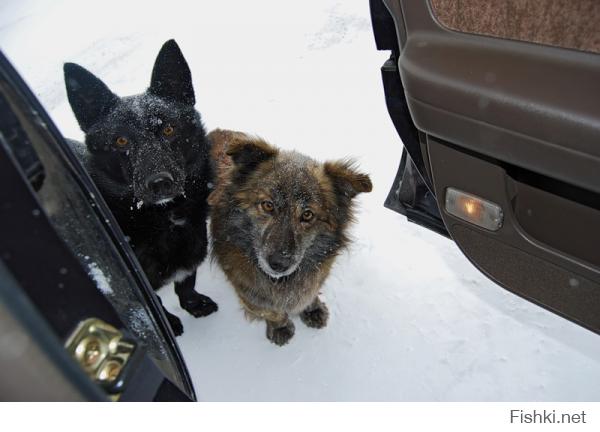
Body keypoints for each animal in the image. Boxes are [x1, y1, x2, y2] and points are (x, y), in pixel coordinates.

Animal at [63, 39, 217, 334]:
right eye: (121, 141)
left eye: (168, 130)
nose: (160, 183)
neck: (164, 218)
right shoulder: (137, 284)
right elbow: (157, 303)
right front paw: (171, 323)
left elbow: (186, 283)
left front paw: (194, 304)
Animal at [209, 130, 372, 346]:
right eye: (268, 205)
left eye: (308, 215)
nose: (279, 264)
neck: (282, 281)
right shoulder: (248, 293)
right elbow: (270, 311)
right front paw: (281, 327)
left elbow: (310, 292)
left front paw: (312, 308)